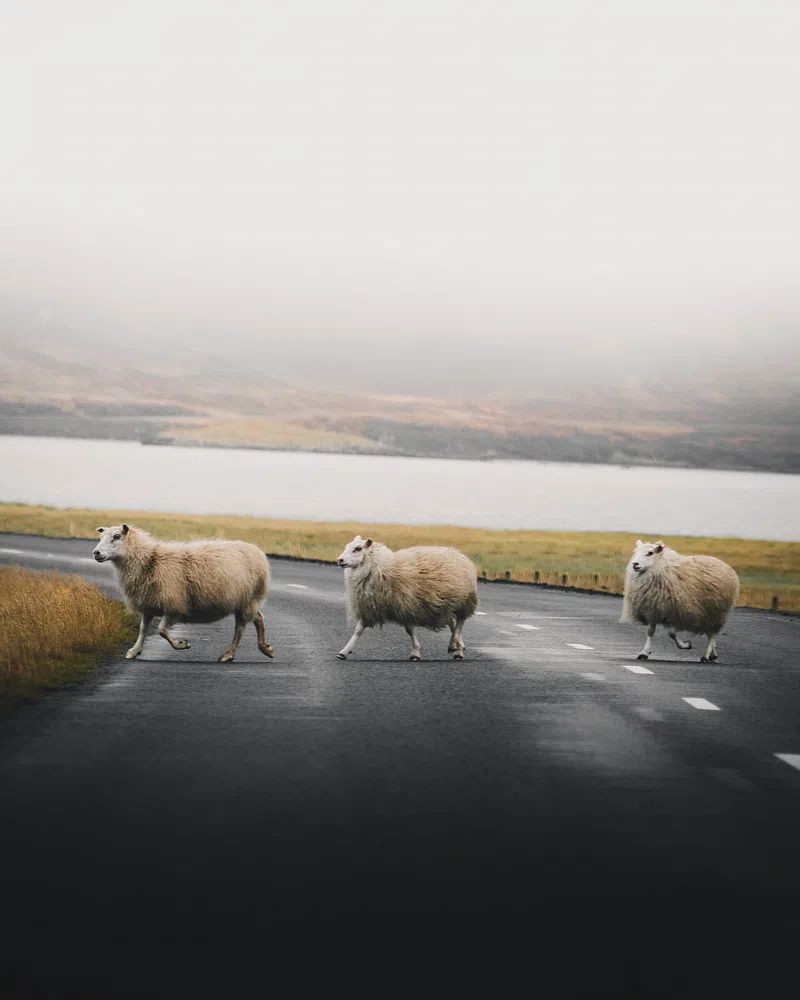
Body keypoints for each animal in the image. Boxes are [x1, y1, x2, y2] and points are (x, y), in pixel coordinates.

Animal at [92, 523, 274, 663]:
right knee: (257, 619)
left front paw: (181, 644)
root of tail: (257, 551)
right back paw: (264, 648)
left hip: (247, 599)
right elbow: (143, 629)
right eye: (101, 537)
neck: (150, 560)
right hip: (243, 601)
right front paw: (134, 650)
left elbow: (161, 630)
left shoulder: (174, 604)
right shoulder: (149, 604)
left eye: (116, 536)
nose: (96, 553)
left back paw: (230, 654)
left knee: (242, 628)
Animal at [335, 535, 478, 661]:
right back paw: (458, 647)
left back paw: (454, 646)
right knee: (452, 623)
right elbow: (358, 630)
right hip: (445, 604)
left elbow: (409, 630)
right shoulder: (370, 608)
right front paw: (343, 652)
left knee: (460, 622)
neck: (379, 567)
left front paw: (415, 653)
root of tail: (458, 553)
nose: (339, 560)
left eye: (358, 548)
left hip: (464, 601)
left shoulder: (406, 605)